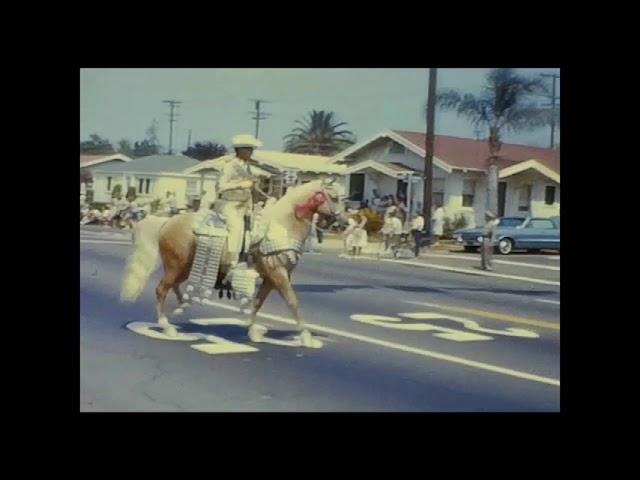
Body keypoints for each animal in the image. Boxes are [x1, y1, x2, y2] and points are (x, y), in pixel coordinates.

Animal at [120, 178, 344, 346]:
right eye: (334, 197)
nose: (341, 223)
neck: (283, 226)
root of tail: (167, 221)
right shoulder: (278, 273)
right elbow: (293, 302)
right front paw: (306, 337)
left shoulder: (271, 278)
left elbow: (257, 303)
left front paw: (253, 332)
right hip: (176, 266)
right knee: (161, 289)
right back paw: (166, 326)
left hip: (184, 267)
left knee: (172, 287)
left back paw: (182, 306)